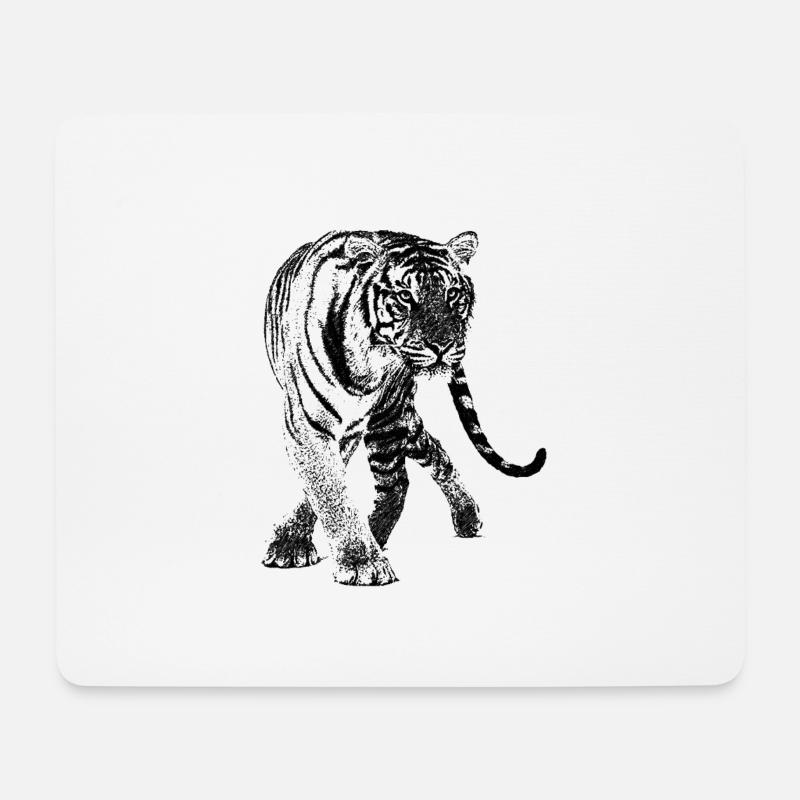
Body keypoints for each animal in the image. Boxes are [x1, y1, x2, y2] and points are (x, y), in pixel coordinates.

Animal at [262, 229, 546, 586]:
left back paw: (398, 529)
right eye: (405, 297)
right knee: (429, 457)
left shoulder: (359, 427)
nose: (443, 346)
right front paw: (316, 550)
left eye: (452, 293)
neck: (369, 362)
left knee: (401, 479)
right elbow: (329, 491)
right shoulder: (309, 425)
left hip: (390, 417)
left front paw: (361, 560)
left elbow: (332, 489)